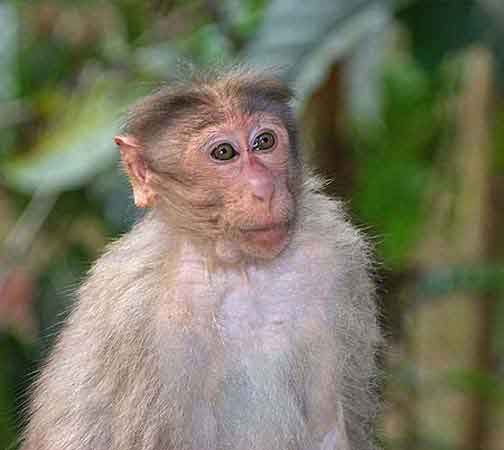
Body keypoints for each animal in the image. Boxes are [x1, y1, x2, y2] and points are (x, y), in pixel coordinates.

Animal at [20, 67, 382, 450]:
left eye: (264, 142)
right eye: (224, 152)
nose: (264, 189)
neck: (240, 269)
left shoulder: (334, 261)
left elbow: (330, 428)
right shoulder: (134, 314)